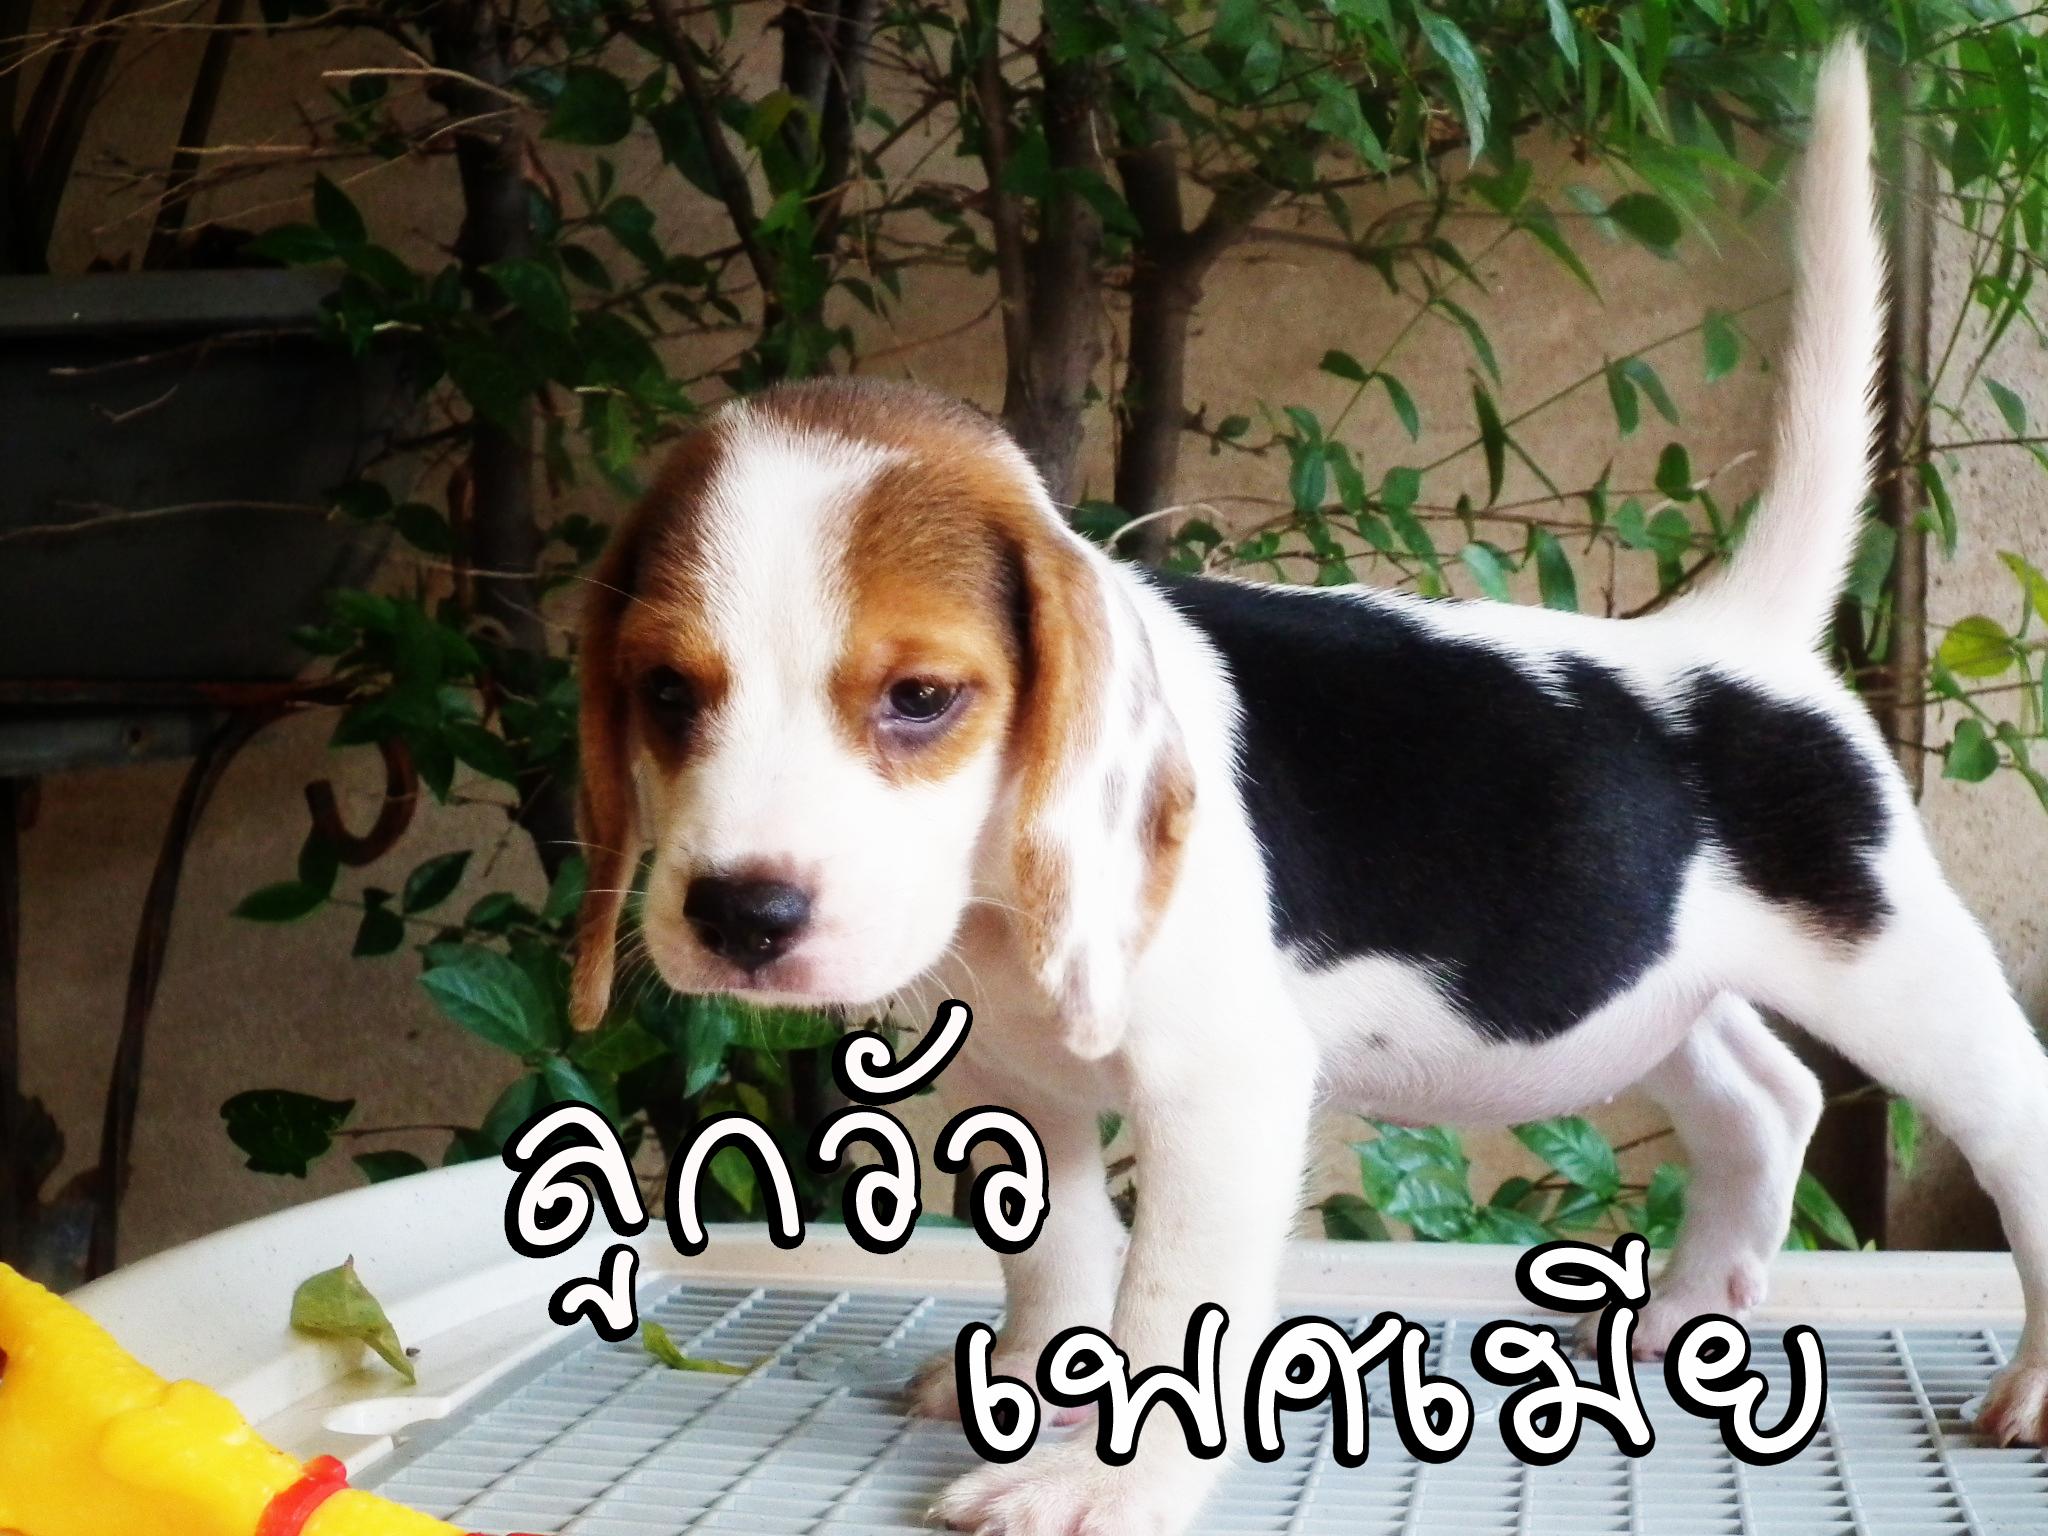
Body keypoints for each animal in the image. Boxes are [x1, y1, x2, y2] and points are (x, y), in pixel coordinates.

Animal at [571, 38, 2048, 1534]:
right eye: (665, 696)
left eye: (920, 698)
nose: (740, 916)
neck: (996, 904)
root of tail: (1737, 642)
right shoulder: (1020, 1094)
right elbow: (1057, 1265)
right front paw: (1035, 1388)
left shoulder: (1222, 1092)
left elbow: (1170, 1304)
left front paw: (1104, 1485)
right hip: (1637, 976)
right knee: (1765, 1096)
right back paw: (1682, 1309)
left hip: (1897, 974)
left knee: (2014, 1130)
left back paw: (2026, 1382)